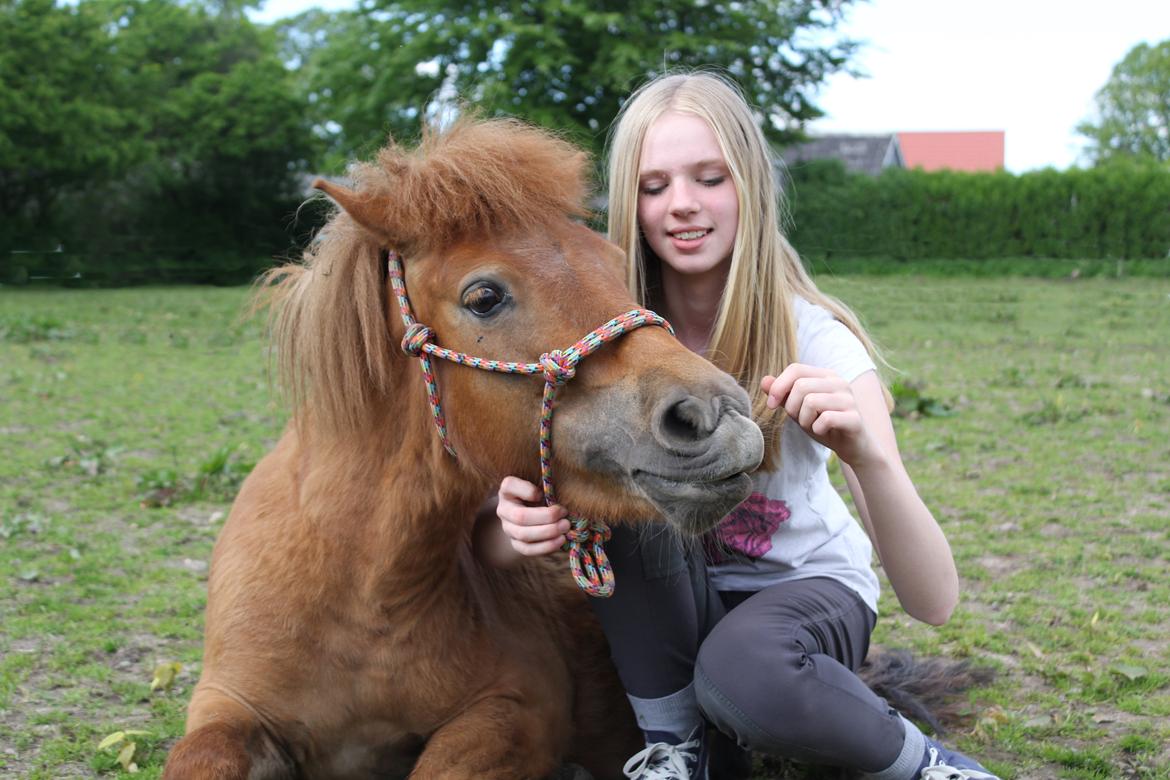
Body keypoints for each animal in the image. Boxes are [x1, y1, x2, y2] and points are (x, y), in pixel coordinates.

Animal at [164, 117, 767, 780]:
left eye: (614, 262)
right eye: (484, 297)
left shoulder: (515, 708)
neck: (355, 594)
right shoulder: (226, 706)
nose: (717, 415)